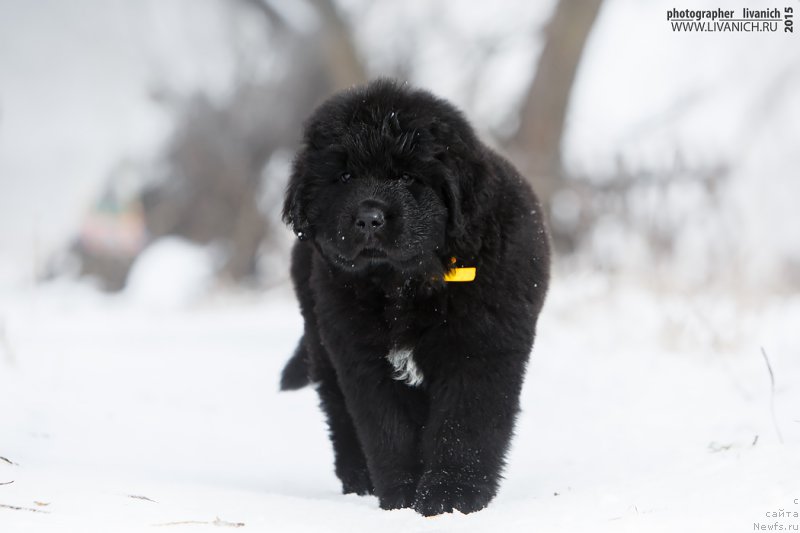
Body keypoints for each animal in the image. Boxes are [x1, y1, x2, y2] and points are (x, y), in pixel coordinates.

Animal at [278, 80, 548, 516]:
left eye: (407, 177)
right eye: (345, 175)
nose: (368, 219)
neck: (404, 284)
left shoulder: (479, 352)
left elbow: (463, 428)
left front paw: (451, 497)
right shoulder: (362, 357)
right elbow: (388, 430)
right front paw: (402, 499)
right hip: (322, 341)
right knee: (339, 413)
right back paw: (358, 480)